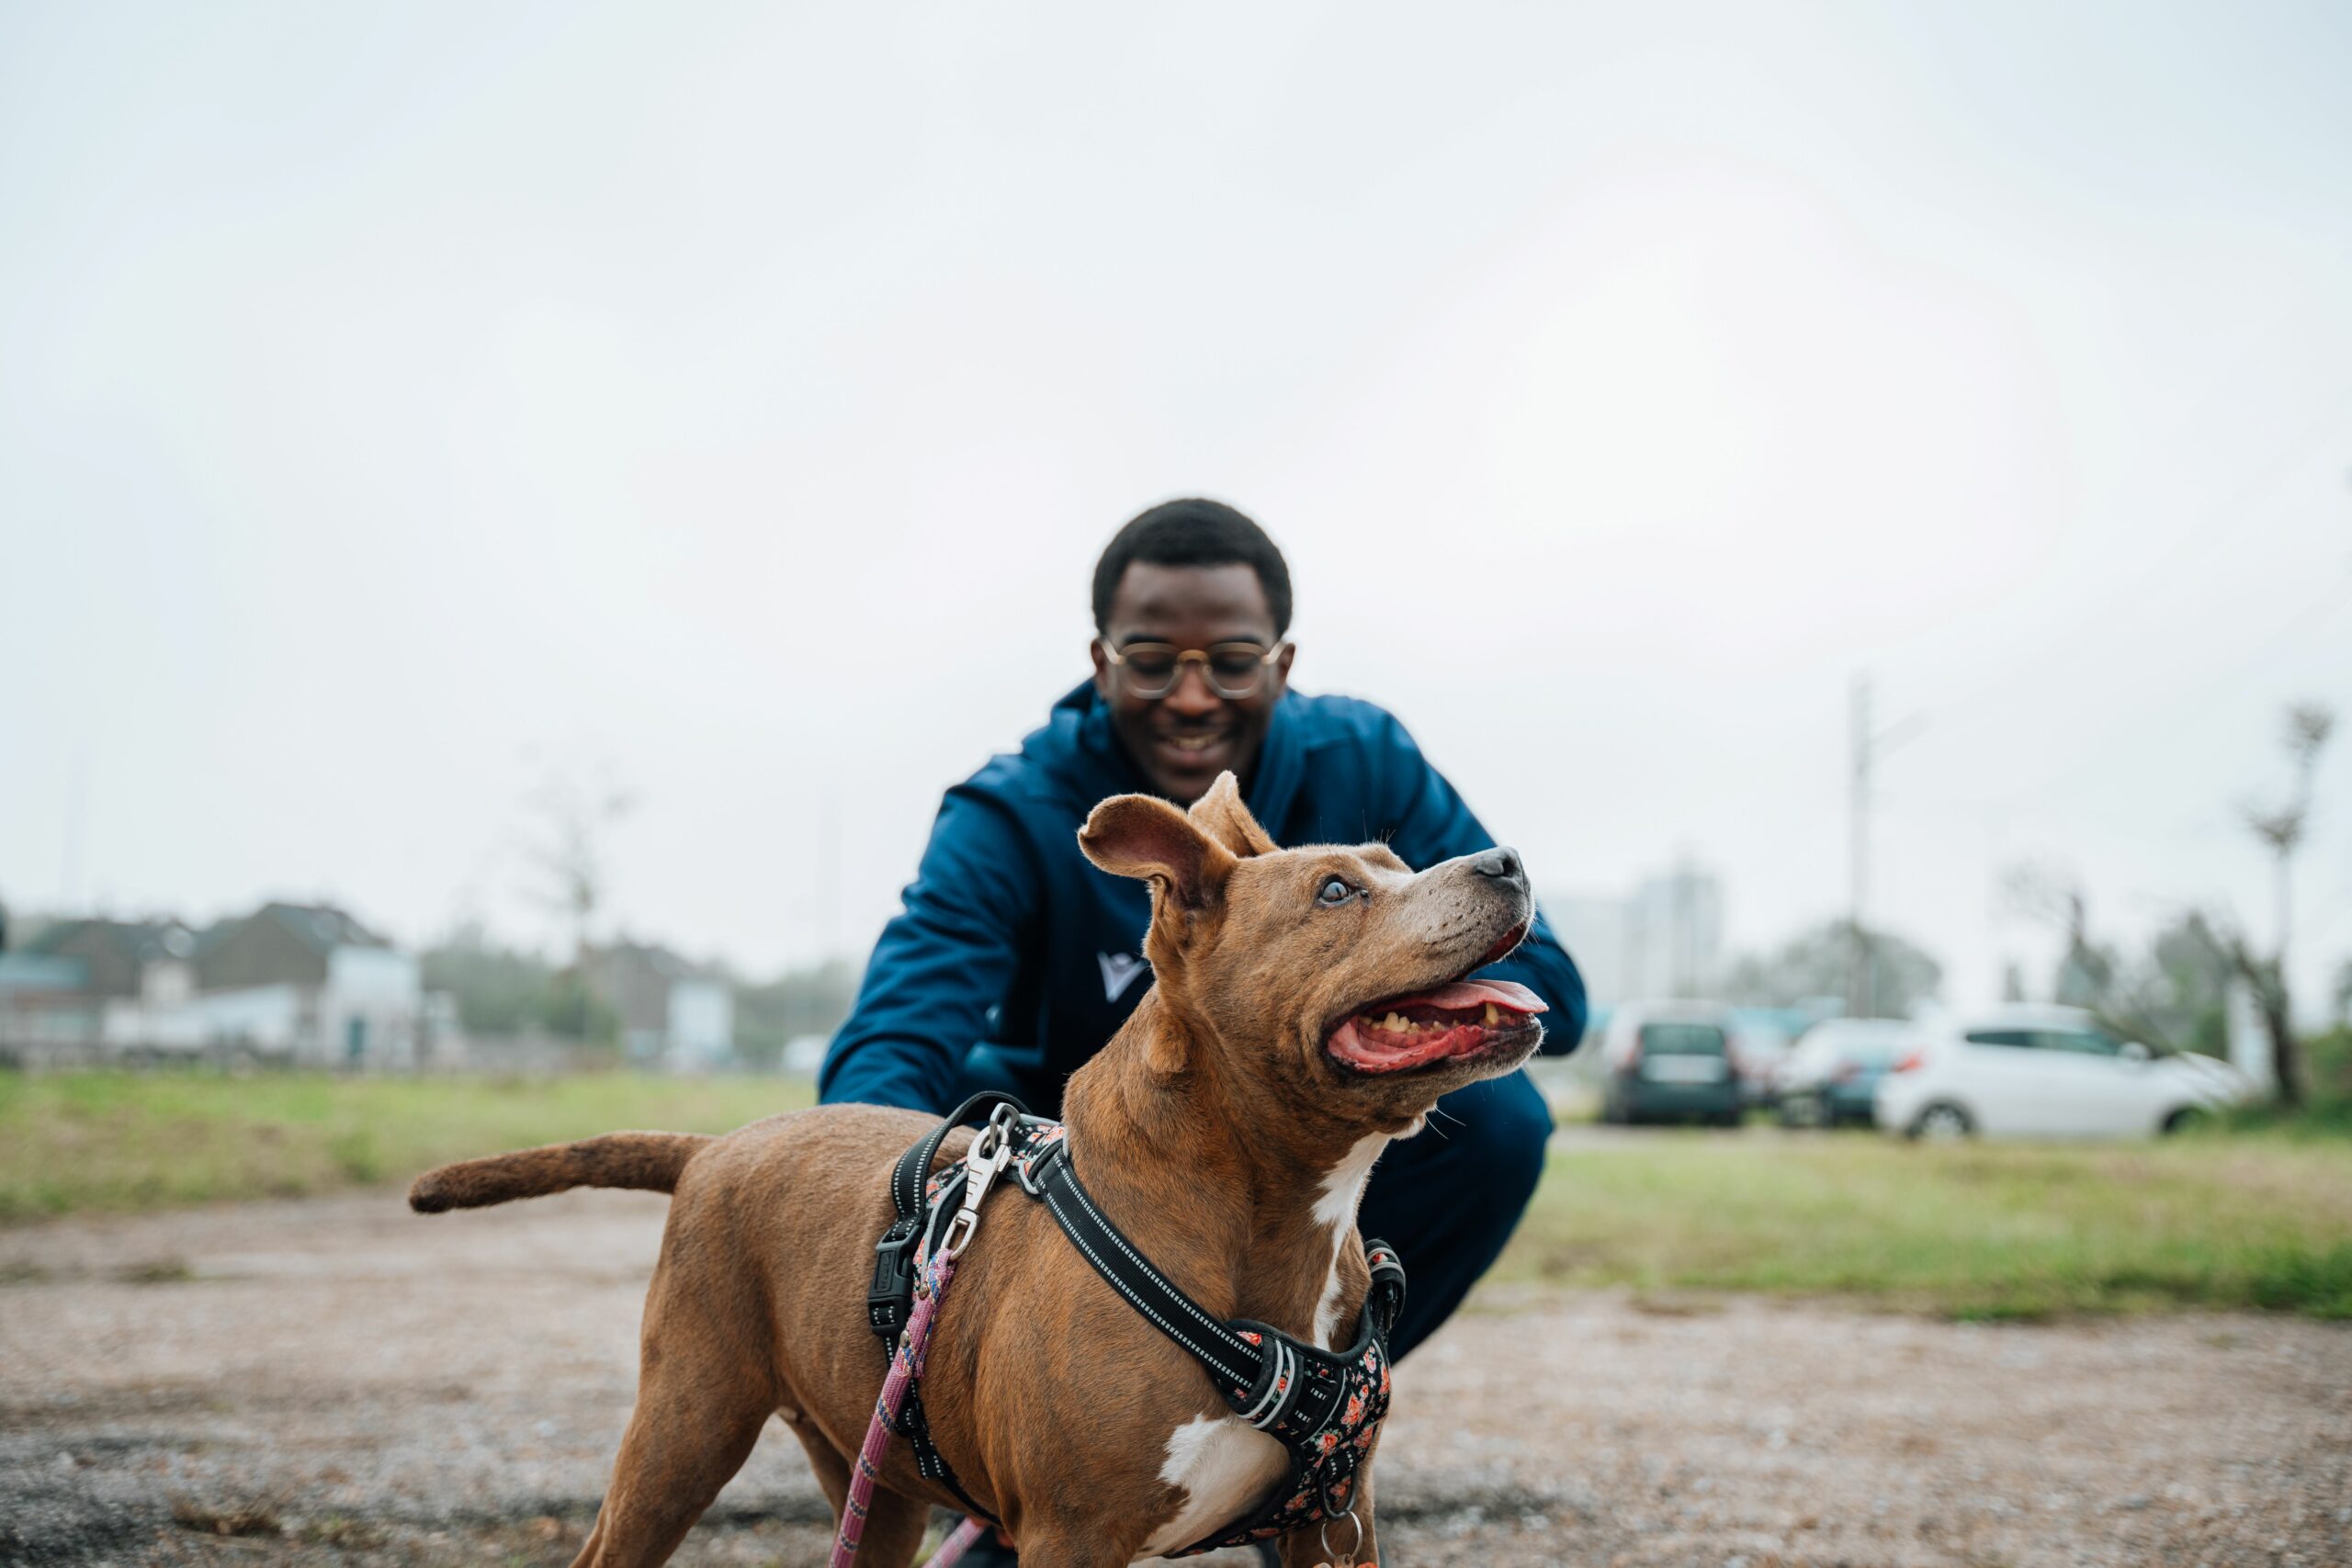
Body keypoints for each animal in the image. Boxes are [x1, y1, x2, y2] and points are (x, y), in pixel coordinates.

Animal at [409, 773, 1546, 1567]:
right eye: (1335, 891)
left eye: (1394, 859)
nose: (1506, 860)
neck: (1266, 1212)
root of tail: (718, 1145)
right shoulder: (1071, 1535)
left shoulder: (1334, 1525)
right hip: (684, 1426)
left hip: (875, 1478)